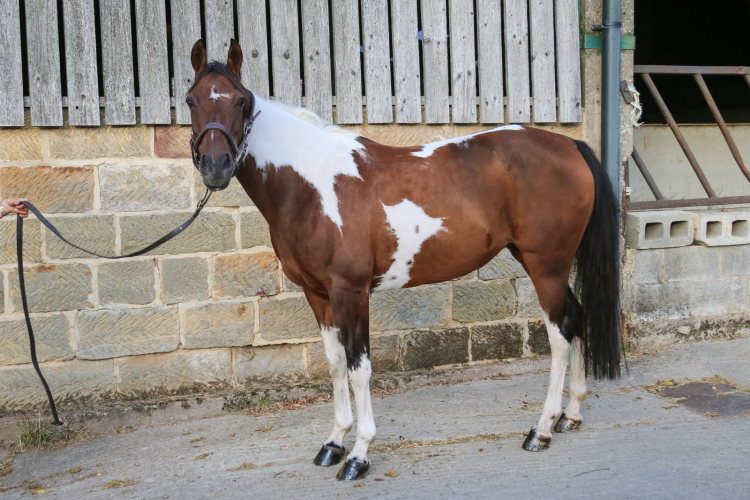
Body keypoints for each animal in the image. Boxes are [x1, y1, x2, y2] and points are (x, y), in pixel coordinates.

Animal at [186, 39, 621, 480]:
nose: (216, 166)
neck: (312, 184)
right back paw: (571, 414)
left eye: (240, 100)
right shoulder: (318, 295)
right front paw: (333, 443)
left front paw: (359, 454)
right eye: (190, 100)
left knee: (560, 336)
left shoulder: (351, 292)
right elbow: (335, 364)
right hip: (548, 265)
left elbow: (359, 368)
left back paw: (541, 429)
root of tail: (570, 145)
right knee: (577, 318)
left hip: (546, 265)